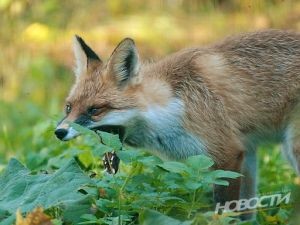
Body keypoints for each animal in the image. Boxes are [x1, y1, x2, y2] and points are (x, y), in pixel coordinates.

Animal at [55, 29, 300, 220]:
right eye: (68, 108)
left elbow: (224, 210)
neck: (171, 105)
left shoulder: (227, 154)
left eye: (95, 110)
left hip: (293, 150)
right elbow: (244, 212)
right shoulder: (245, 153)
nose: (59, 132)